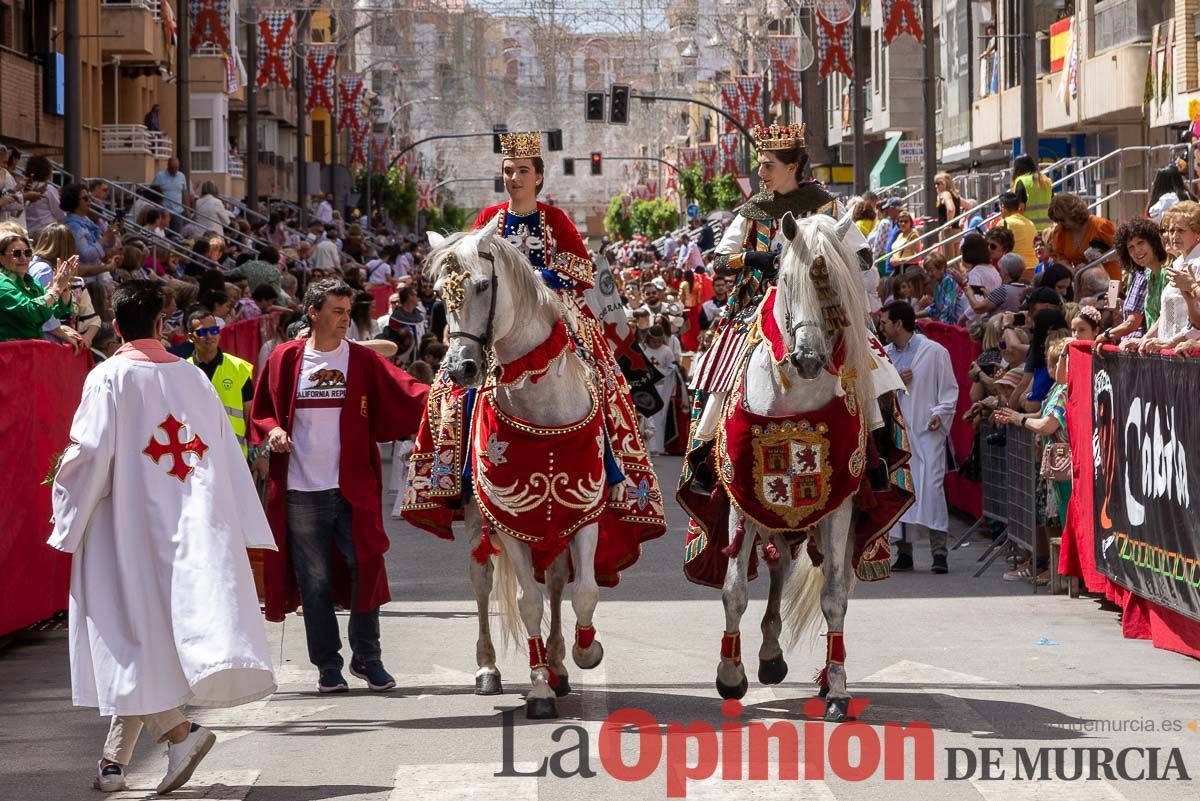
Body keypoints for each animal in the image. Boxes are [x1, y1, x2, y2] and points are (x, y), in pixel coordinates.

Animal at [427, 225, 604, 719]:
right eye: (438, 295)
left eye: (483, 285)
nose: (462, 368)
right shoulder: (507, 520)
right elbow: (528, 603)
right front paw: (539, 689)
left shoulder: (585, 509)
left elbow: (584, 591)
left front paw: (584, 652)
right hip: (475, 519)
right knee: (482, 582)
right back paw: (489, 669)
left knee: (559, 580)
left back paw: (561, 664)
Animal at [715, 211, 878, 719]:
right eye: (785, 279)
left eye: (835, 284)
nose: (807, 359)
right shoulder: (741, 499)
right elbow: (734, 590)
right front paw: (730, 676)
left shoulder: (840, 503)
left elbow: (835, 597)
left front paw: (839, 690)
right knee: (778, 566)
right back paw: (766, 657)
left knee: (803, 573)